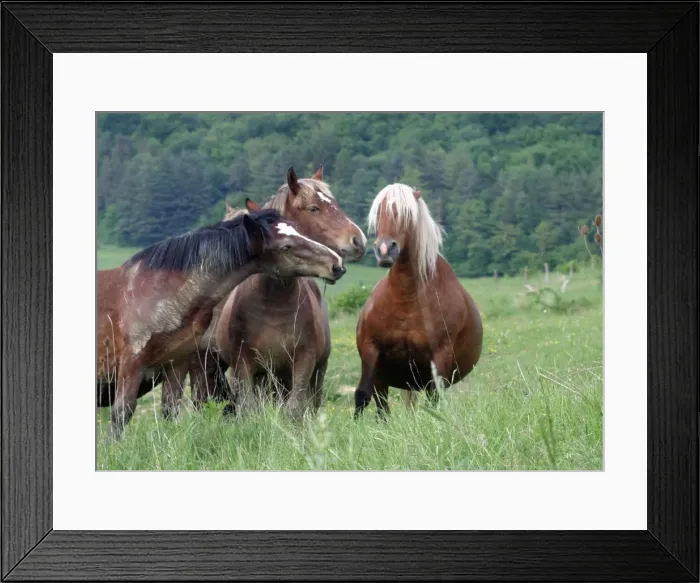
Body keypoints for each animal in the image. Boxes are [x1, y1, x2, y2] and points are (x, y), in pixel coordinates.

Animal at [96, 208, 346, 437]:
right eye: (286, 247)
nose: (337, 264)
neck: (157, 291)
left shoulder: (176, 363)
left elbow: (170, 410)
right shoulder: (132, 363)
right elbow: (121, 412)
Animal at [192, 165, 367, 420]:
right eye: (313, 208)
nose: (359, 241)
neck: (274, 302)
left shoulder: (303, 363)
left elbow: (295, 409)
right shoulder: (243, 365)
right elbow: (248, 408)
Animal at [354, 183, 483, 419]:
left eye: (407, 214)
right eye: (379, 213)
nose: (385, 250)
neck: (407, 299)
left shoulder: (439, 357)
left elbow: (435, 401)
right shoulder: (370, 350)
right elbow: (362, 396)